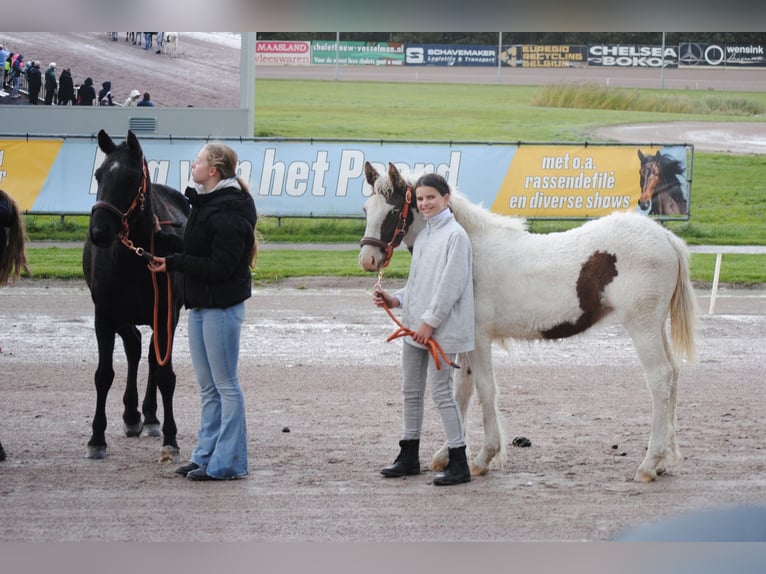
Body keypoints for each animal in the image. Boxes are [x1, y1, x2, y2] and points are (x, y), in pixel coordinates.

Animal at [83, 129, 189, 462]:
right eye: (98, 174)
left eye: (130, 178)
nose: (99, 230)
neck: (133, 258)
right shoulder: (104, 314)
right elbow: (103, 375)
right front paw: (97, 438)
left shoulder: (165, 313)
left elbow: (165, 373)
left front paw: (170, 437)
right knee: (133, 344)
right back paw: (132, 415)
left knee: (152, 356)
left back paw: (150, 416)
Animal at [359, 162, 698, 483]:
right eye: (366, 209)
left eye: (393, 210)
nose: (368, 260)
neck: (468, 247)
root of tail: (665, 237)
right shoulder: (465, 340)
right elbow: (462, 391)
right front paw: (446, 454)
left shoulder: (480, 338)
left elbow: (485, 390)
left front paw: (484, 457)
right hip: (656, 327)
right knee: (674, 374)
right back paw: (664, 461)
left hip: (642, 327)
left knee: (659, 378)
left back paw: (649, 464)